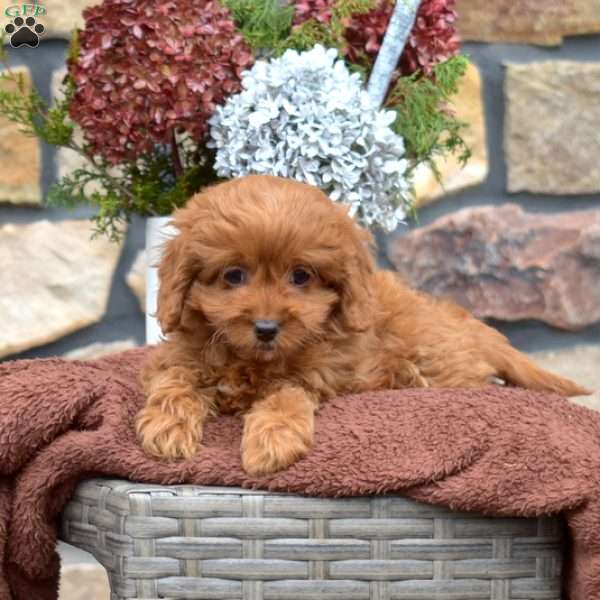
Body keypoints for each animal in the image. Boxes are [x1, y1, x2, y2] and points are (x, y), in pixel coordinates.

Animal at [135, 173, 584, 474]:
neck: (252, 360)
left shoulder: (318, 374)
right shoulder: (180, 355)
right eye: (233, 275)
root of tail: (474, 329)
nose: (265, 328)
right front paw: (167, 425)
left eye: (301, 276)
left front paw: (272, 440)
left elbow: (285, 397)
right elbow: (175, 380)